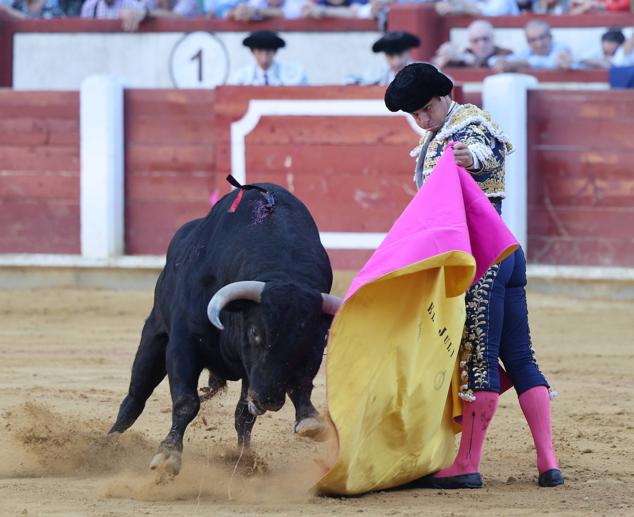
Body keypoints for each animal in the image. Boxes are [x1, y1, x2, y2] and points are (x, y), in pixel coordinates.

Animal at [108, 179, 340, 474]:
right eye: (254, 332)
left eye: (312, 340)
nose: (268, 400)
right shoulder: (183, 345)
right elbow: (186, 402)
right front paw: (168, 455)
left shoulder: (270, 367)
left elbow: (256, 408)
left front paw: (305, 422)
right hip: (154, 336)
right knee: (135, 396)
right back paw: (106, 446)